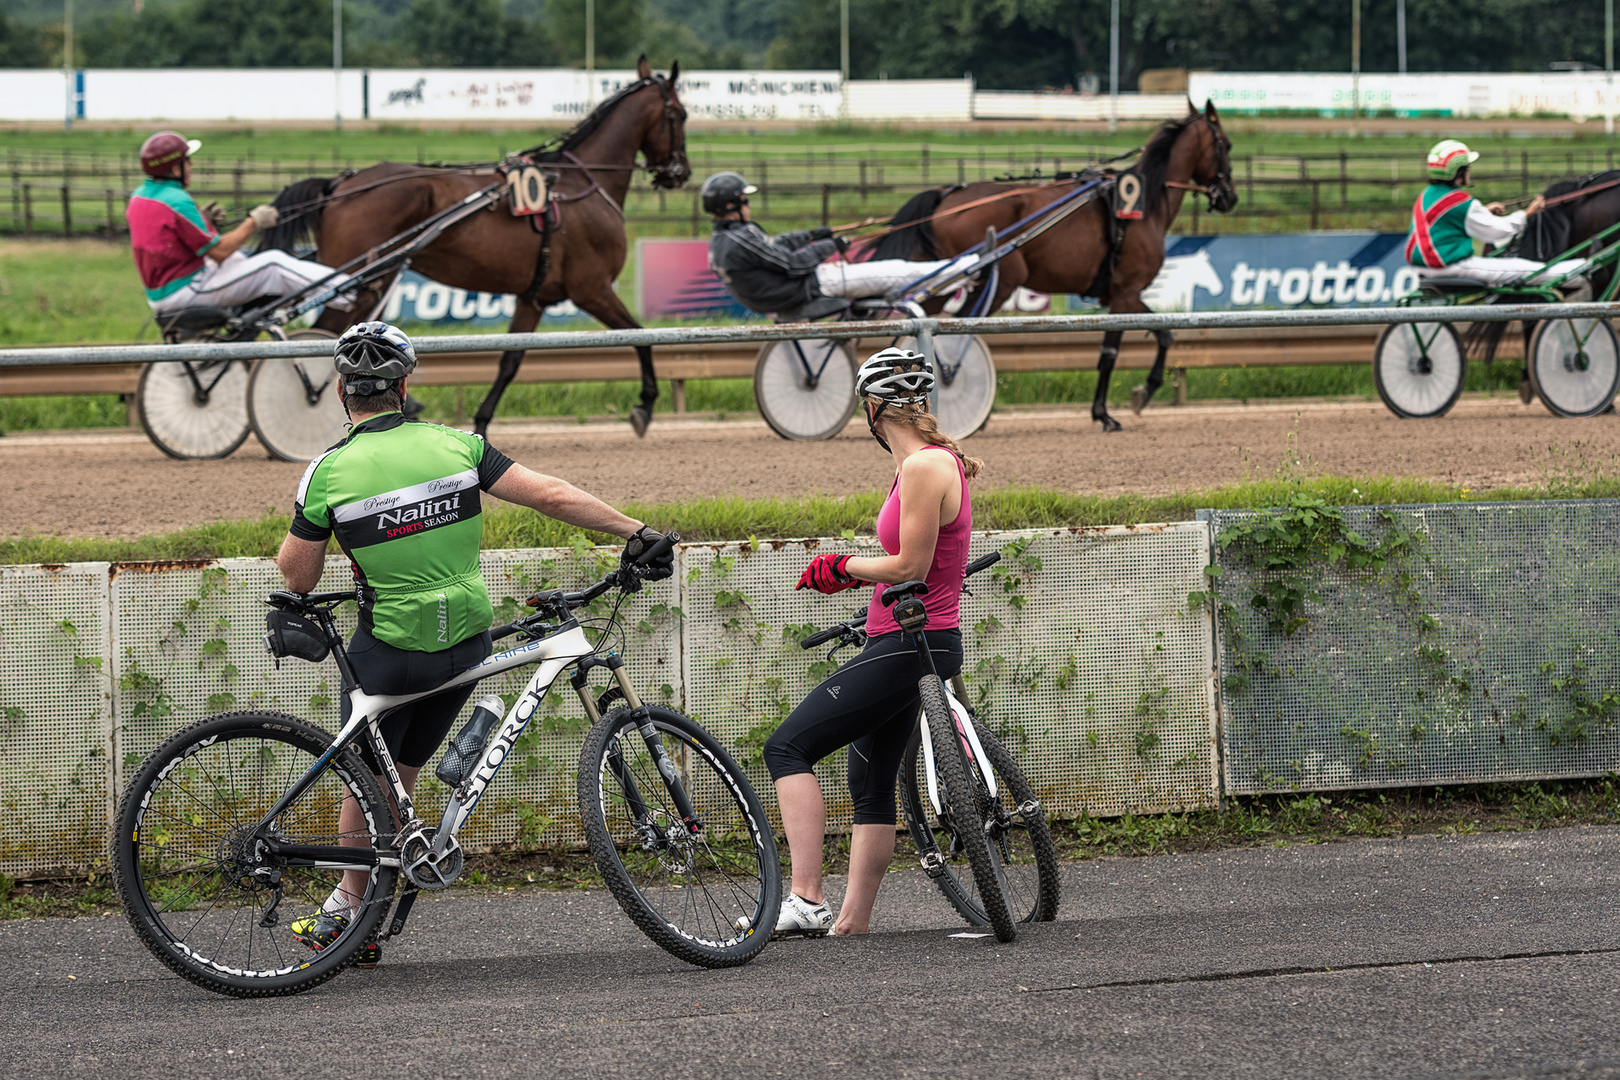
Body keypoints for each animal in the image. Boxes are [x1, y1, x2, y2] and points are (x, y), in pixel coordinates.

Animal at [260, 58, 690, 440]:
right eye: (682, 115)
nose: (681, 172)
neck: (579, 183)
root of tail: (341, 184)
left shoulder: (534, 297)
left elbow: (510, 362)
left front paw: (482, 421)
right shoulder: (592, 288)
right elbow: (640, 334)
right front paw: (645, 404)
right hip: (359, 280)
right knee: (325, 338)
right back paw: (320, 397)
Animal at [868, 100, 1231, 430]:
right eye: (1225, 145)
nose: (1231, 197)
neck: (1145, 206)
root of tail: (947, 194)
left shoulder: (1122, 294)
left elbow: (1165, 334)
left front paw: (1143, 391)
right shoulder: (1125, 292)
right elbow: (1111, 353)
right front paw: (1106, 412)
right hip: (999, 280)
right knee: (951, 331)